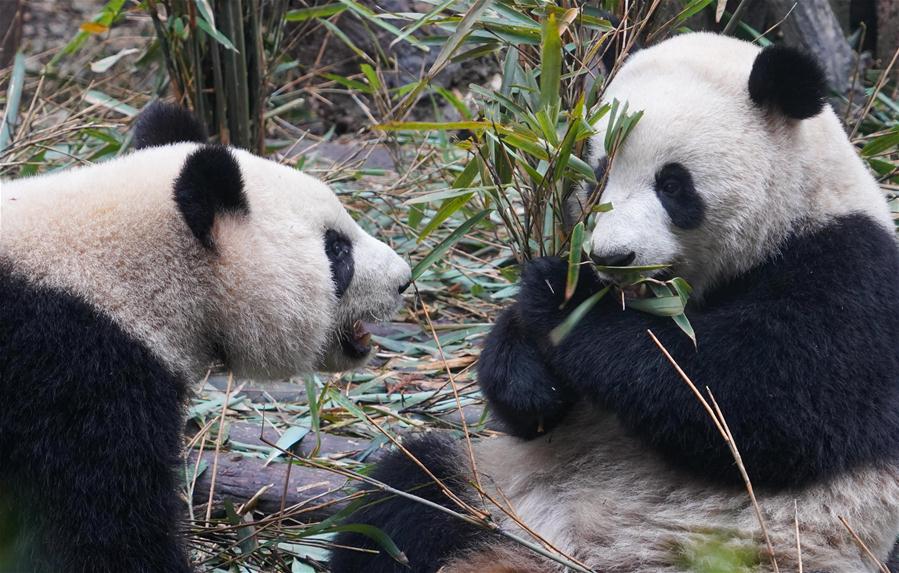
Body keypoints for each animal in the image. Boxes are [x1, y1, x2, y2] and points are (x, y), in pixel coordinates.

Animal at [330, 32, 899, 572]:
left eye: (673, 184)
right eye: (598, 172)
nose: (612, 256)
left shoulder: (851, 274)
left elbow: (754, 401)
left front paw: (563, 302)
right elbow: (528, 415)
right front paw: (531, 371)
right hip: (492, 491)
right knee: (403, 499)